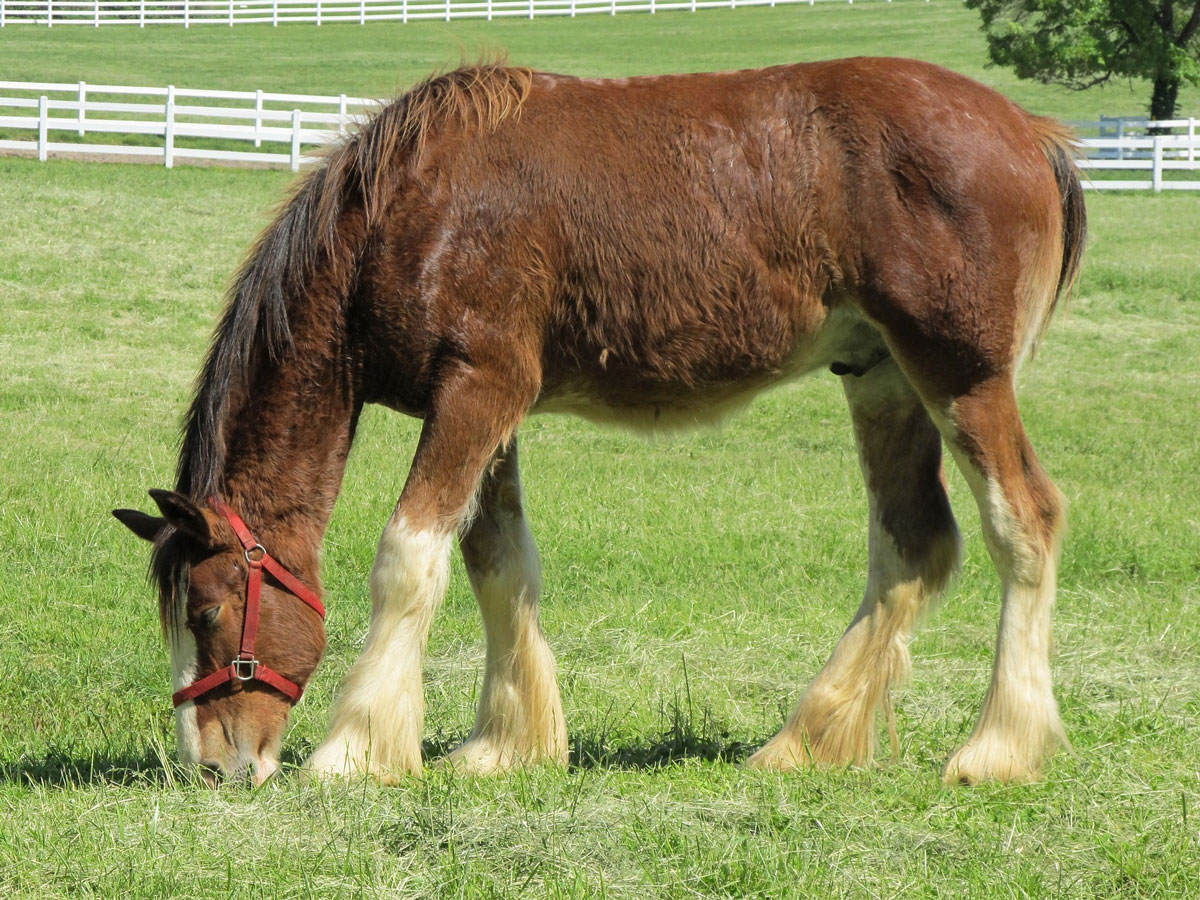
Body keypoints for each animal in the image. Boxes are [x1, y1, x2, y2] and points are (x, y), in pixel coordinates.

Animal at [112, 58, 1089, 787]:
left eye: (206, 608)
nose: (215, 767)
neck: (414, 210)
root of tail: (1029, 132)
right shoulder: (488, 410)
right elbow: (495, 564)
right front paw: (504, 745)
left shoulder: (476, 392)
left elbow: (408, 560)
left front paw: (354, 751)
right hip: (881, 377)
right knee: (913, 545)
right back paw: (804, 741)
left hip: (960, 379)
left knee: (1025, 523)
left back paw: (996, 749)